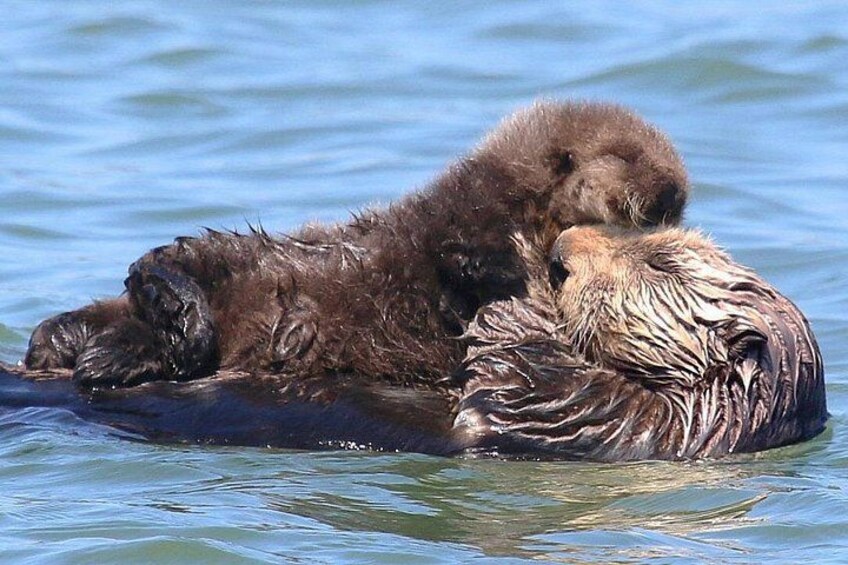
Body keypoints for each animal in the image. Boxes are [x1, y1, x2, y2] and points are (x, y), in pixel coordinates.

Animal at [24, 101, 688, 387]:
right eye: (627, 157)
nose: (673, 194)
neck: (526, 211)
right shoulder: (465, 214)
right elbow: (457, 253)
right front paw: (492, 269)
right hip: (225, 255)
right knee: (158, 268)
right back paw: (162, 322)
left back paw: (94, 350)